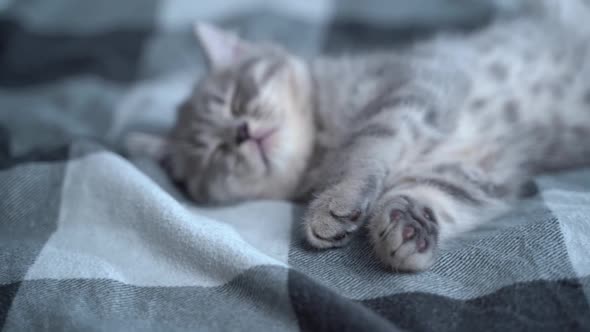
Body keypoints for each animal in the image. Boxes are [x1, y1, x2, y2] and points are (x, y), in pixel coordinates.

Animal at [132, 0, 590, 272]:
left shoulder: (413, 89)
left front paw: (336, 202)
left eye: (235, 99)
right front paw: (407, 228)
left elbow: (368, 144)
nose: (241, 132)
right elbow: (440, 194)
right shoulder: (478, 168)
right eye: (211, 151)